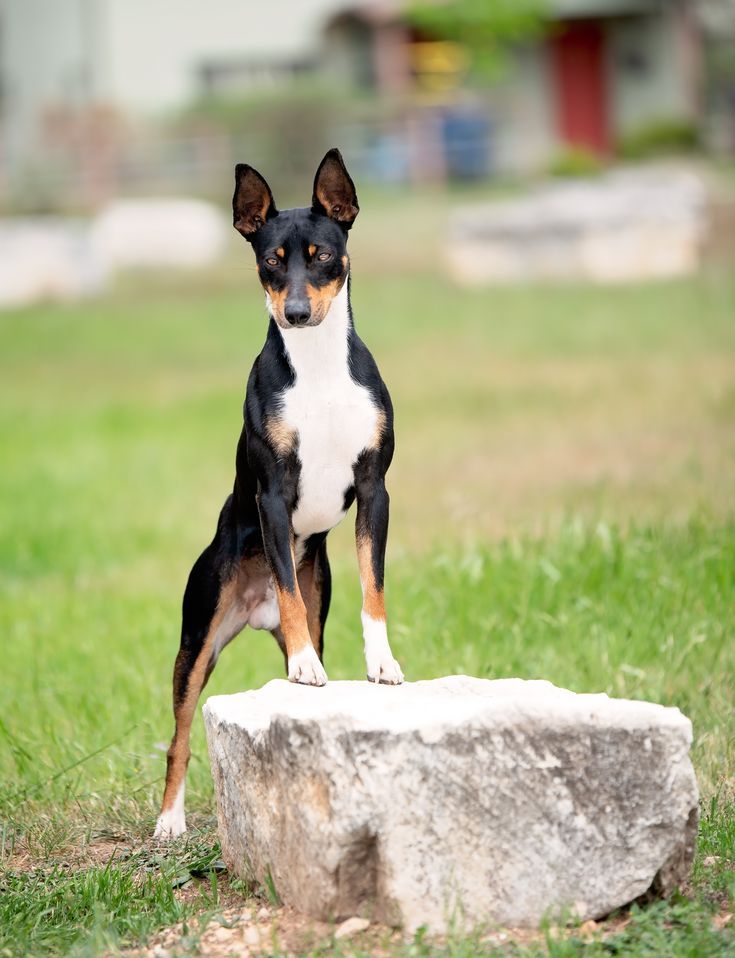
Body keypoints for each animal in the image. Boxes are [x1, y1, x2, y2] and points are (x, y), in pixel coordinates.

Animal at [155, 148, 406, 840]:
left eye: (322, 255)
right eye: (271, 260)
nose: (294, 313)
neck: (317, 367)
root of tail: (253, 609)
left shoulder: (374, 490)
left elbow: (374, 591)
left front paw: (382, 665)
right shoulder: (272, 497)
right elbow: (288, 591)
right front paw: (302, 667)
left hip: (316, 595)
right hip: (198, 642)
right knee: (179, 737)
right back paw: (169, 821)